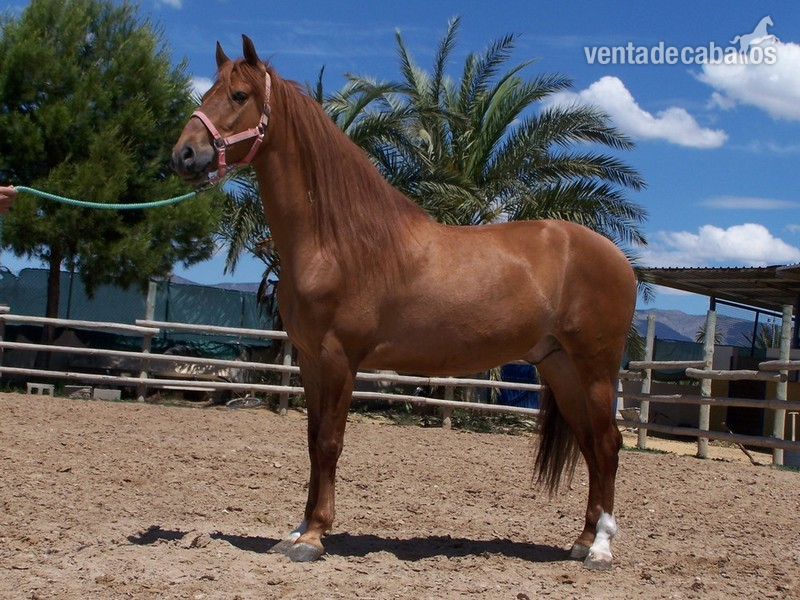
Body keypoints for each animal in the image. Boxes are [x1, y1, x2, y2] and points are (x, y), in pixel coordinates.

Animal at [172, 35, 637, 570]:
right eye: (208, 91)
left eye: (239, 95)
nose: (184, 154)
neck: (339, 241)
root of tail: (619, 260)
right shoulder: (309, 360)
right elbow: (311, 440)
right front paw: (296, 530)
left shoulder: (339, 358)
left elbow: (329, 443)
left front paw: (314, 536)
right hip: (560, 367)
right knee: (590, 445)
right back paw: (581, 541)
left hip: (595, 368)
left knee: (608, 445)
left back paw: (601, 547)